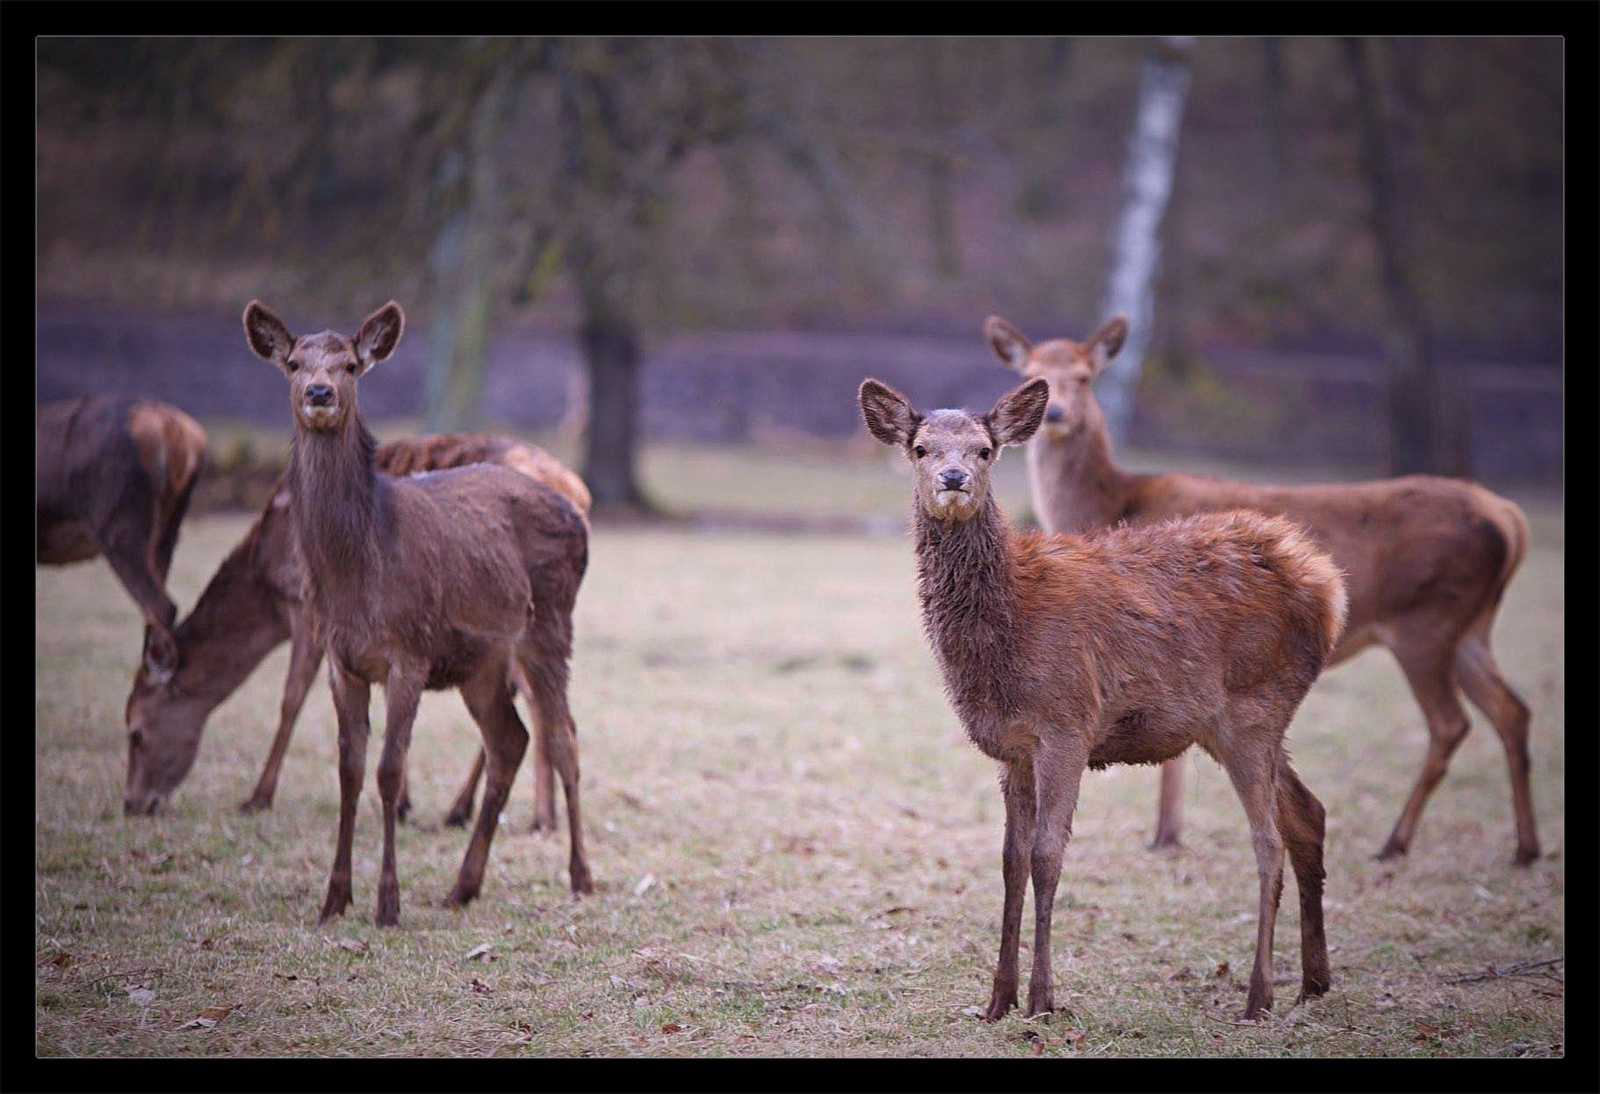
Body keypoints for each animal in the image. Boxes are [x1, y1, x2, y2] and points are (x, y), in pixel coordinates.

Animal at [121, 428, 592, 831]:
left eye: (136, 732)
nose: (133, 804)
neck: (265, 576)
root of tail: (577, 493)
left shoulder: (308, 608)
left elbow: (291, 700)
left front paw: (257, 798)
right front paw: (403, 803)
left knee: (534, 697)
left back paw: (534, 816)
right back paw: (478, 810)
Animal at [246, 299, 598, 921]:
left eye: (351, 364)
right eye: (292, 363)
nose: (319, 393)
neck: (359, 568)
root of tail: (578, 512)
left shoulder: (408, 651)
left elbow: (390, 771)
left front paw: (387, 902)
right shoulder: (342, 659)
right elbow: (349, 770)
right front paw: (334, 898)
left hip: (551, 626)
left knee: (563, 736)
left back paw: (580, 877)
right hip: (482, 663)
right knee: (510, 739)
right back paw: (463, 886)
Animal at [857, 377, 1344, 1023]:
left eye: (985, 449)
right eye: (920, 448)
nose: (954, 478)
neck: (1007, 634)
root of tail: (1328, 587)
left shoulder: (1067, 723)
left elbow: (1047, 855)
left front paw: (1042, 999)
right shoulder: (1013, 749)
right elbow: (1010, 860)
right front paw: (998, 999)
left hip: (1255, 705)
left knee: (1267, 840)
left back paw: (1258, 996)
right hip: (1241, 721)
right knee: (1307, 814)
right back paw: (1313, 982)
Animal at [979, 311, 1542, 870]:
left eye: (1083, 377)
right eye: (1028, 371)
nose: (1055, 413)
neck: (1112, 504)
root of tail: (1510, 519)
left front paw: (1166, 834)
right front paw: (1167, 831)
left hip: (1426, 622)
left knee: (1450, 722)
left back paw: (1395, 842)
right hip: (1470, 628)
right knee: (1511, 710)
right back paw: (1525, 847)